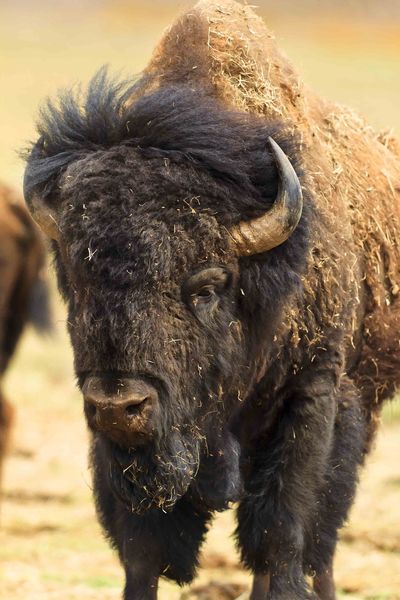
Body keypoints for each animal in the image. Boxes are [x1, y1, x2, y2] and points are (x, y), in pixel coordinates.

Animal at [22, 1, 400, 600]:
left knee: (320, 542)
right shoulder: (112, 451)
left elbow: (281, 536)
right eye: (78, 284)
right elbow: (142, 550)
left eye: (205, 287)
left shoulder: (314, 394)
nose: (120, 405)